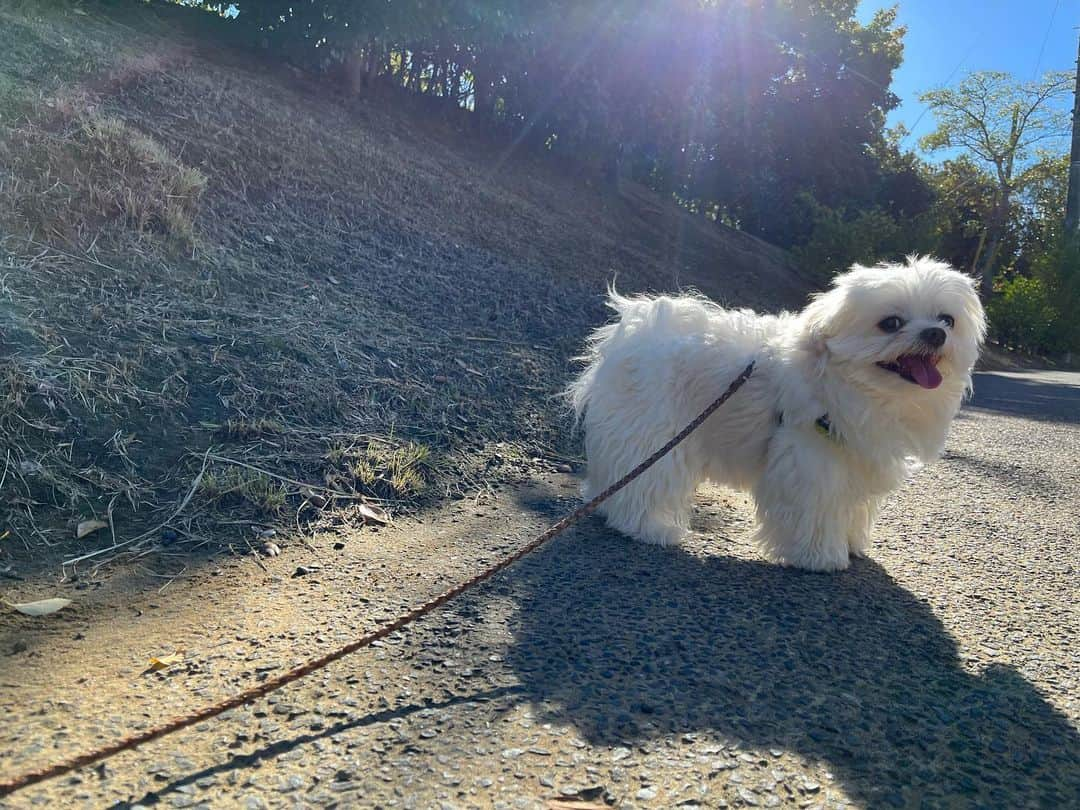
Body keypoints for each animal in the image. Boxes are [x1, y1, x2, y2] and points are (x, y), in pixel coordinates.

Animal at [574, 257, 989, 574]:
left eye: (947, 320)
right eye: (891, 323)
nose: (935, 334)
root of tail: (634, 335)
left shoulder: (855, 459)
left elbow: (851, 507)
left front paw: (852, 543)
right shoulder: (812, 457)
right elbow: (816, 509)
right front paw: (821, 557)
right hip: (658, 429)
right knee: (646, 480)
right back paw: (648, 527)